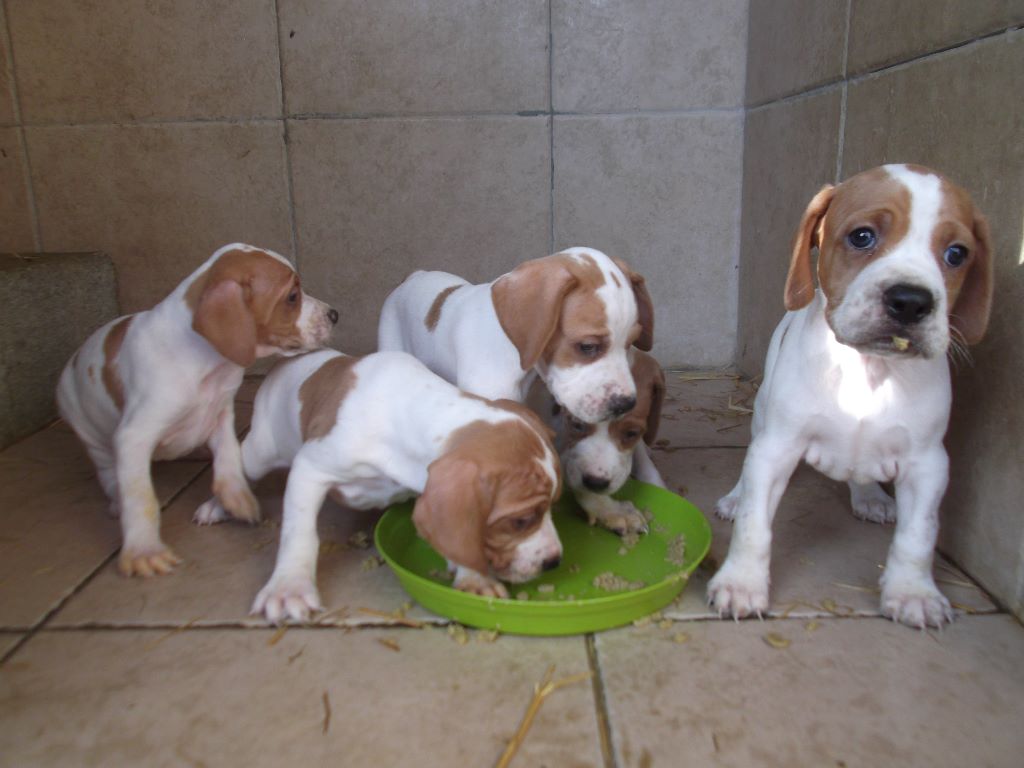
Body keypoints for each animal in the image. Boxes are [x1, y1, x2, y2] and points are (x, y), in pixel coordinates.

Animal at [57, 246, 335, 577]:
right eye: (293, 296)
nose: (335, 314)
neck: (207, 364)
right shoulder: (134, 435)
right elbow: (140, 496)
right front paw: (143, 550)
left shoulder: (221, 414)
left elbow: (228, 457)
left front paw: (236, 497)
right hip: (89, 433)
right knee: (109, 471)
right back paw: (115, 501)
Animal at [194, 348, 565, 626]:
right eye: (520, 521)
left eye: (553, 507)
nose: (554, 561)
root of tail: (288, 360)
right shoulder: (309, 469)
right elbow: (299, 534)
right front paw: (289, 587)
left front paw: (472, 577)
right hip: (262, 449)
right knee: (238, 463)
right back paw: (225, 501)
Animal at [708, 165, 987, 626]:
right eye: (862, 237)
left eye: (956, 254)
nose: (911, 302)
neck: (868, 369)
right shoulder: (777, 448)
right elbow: (754, 523)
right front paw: (741, 584)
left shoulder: (927, 465)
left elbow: (918, 535)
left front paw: (913, 593)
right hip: (762, 417)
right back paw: (733, 496)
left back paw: (871, 497)